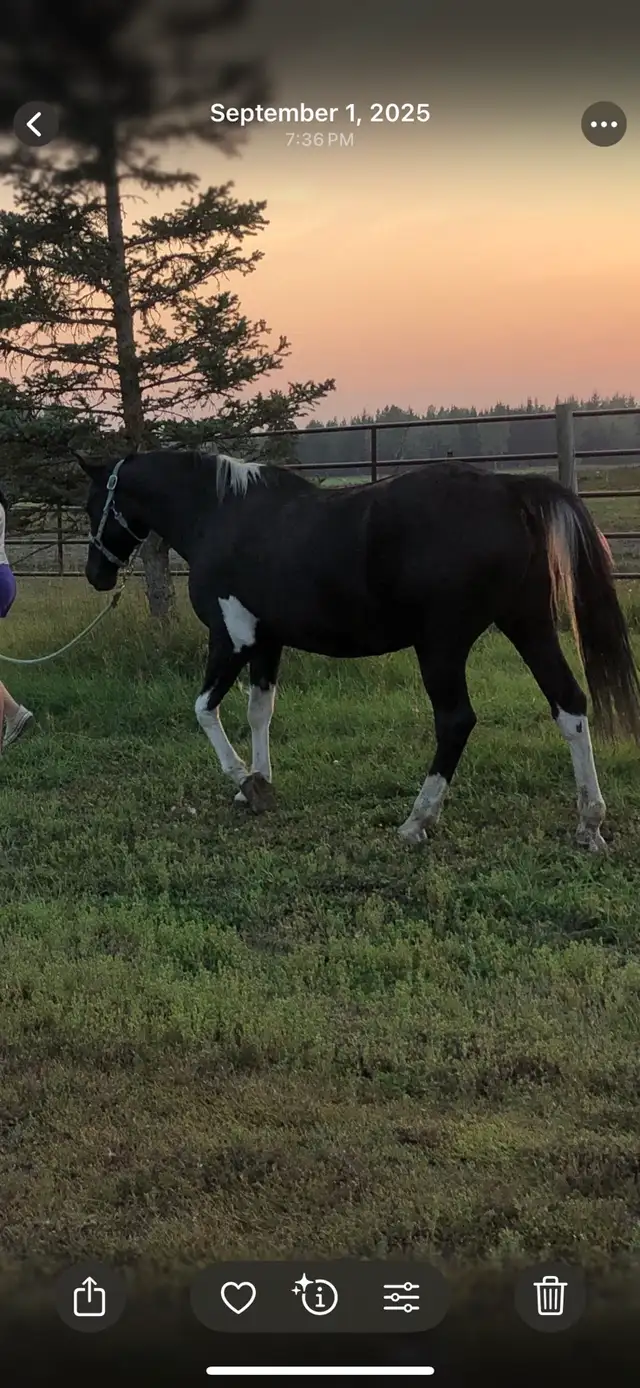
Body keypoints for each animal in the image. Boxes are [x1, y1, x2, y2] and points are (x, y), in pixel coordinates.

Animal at [77, 448, 640, 852]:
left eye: (90, 505)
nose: (96, 574)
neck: (220, 515)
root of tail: (511, 489)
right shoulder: (267, 642)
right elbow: (259, 712)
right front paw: (259, 783)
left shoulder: (231, 637)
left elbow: (203, 709)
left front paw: (243, 780)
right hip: (528, 625)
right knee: (569, 706)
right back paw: (589, 823)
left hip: (442, 645)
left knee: (456, 720)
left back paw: (417, 821)